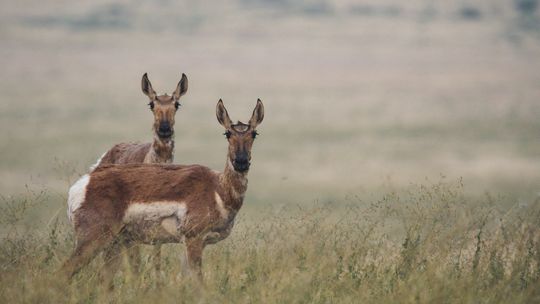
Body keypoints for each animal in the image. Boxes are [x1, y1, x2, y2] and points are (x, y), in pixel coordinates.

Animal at [63, 100, 264, 288]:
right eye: (227, 133)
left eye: (254, 134)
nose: (241, 162)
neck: (218, 188)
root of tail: (85, 181)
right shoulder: (193, 239)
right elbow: (199, 283)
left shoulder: (193, 243)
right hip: (94, 240)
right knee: (63, 273)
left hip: (115, 244)